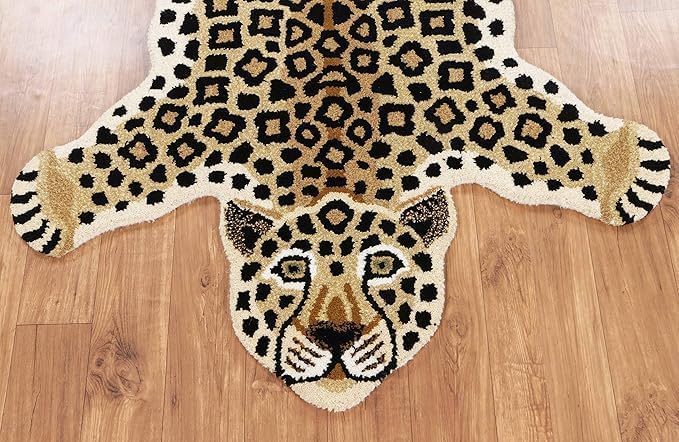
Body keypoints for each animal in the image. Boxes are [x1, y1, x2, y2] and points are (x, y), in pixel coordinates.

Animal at [10, 0, 671, 410]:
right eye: (291, 269)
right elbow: (131, 154)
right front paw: (46, 200)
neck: (332, 161)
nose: (333, 337)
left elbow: (539, 129)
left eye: (381, 265)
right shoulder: (203, 112)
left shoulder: (464, 94)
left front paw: (629, 168)